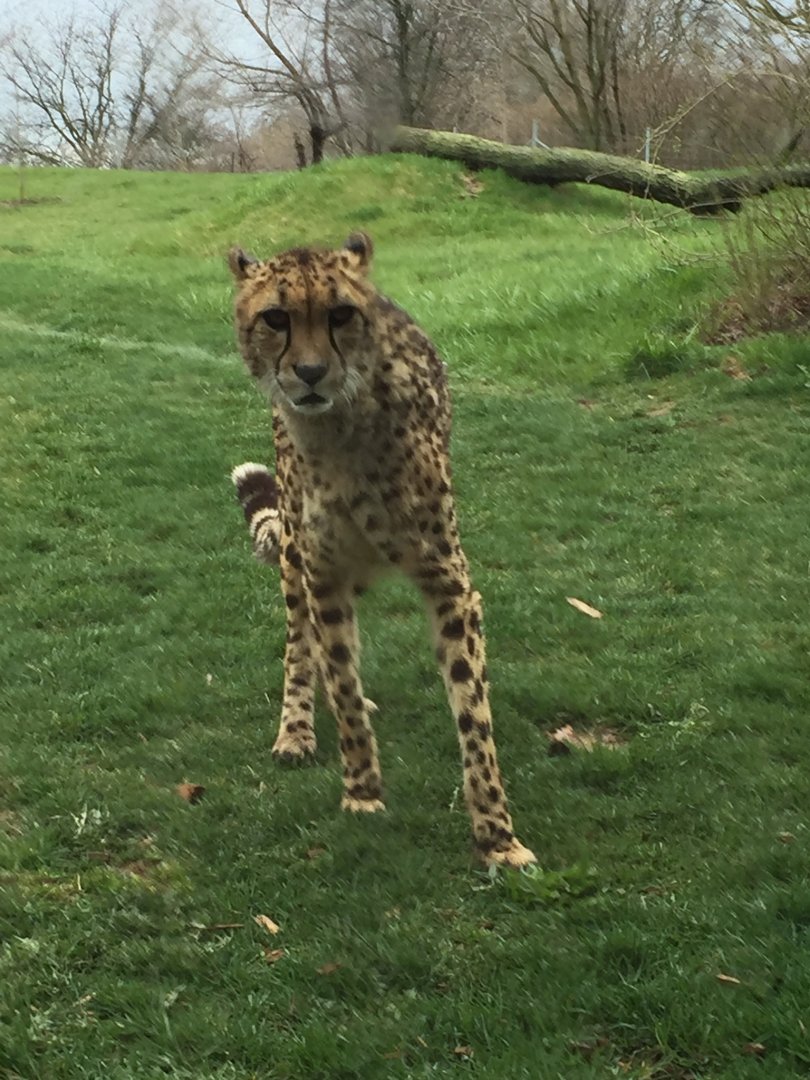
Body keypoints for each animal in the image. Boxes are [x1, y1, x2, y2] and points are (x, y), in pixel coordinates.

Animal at [227, 231, 535, 869]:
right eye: (276, 318)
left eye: (341, 314)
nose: (311, 373)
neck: (342, 432)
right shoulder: (323, 575)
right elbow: (341, 681)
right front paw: (363, 791)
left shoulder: (448, 580)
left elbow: (473, 710)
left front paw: (496, 834)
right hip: (297, 562)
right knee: (300, 644)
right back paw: (296, 729)